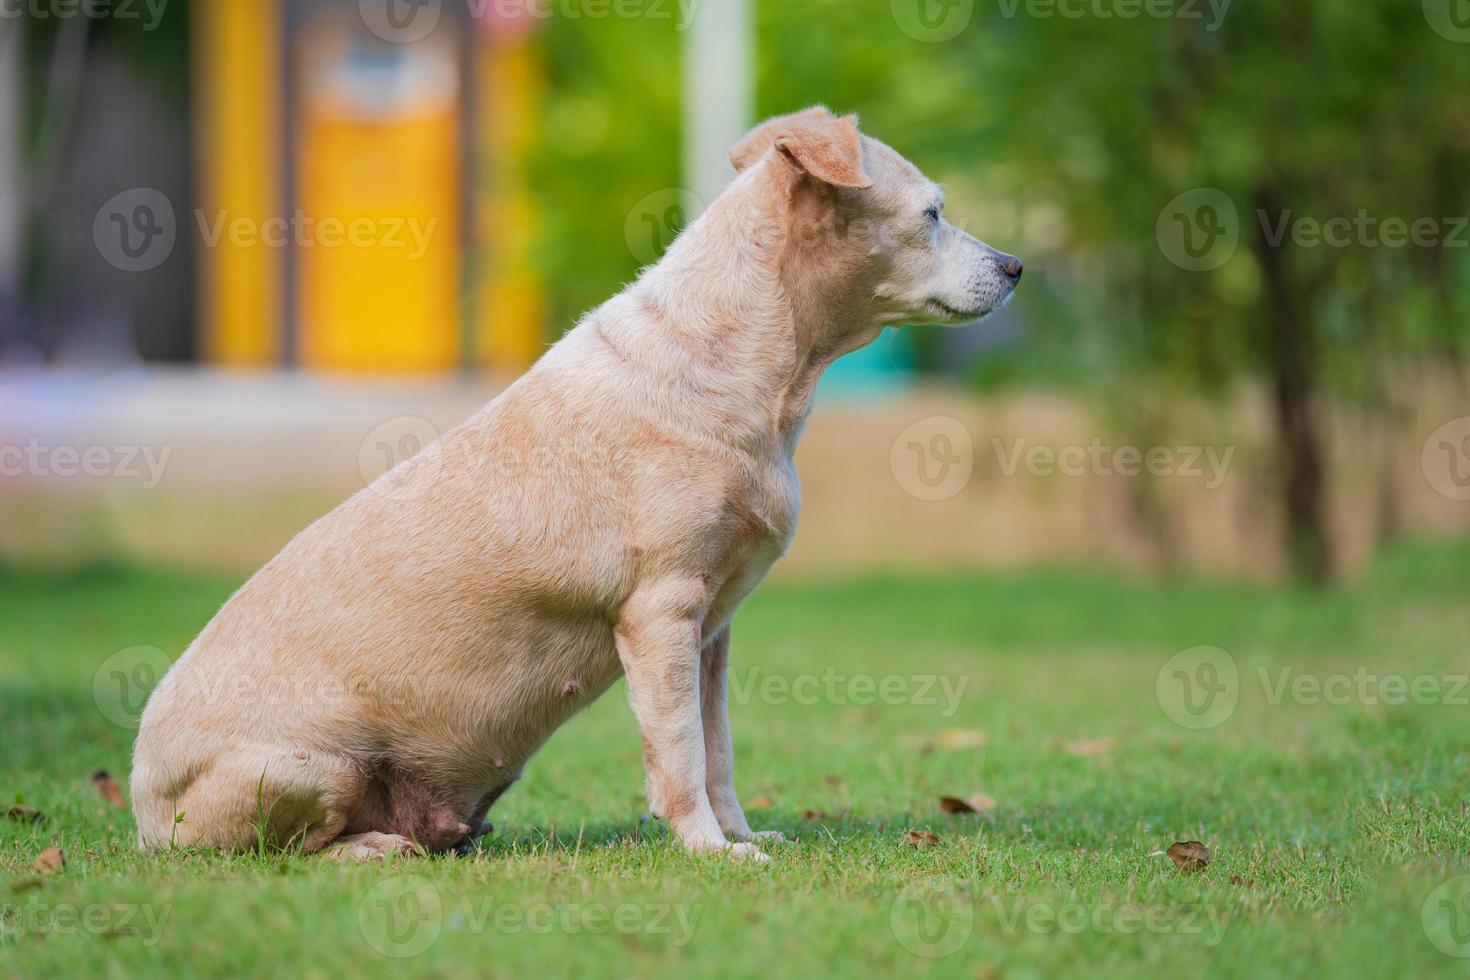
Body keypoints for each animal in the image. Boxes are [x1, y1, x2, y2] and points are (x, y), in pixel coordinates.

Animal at [129, 105, 1023, 858]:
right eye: (933, 213)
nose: (1015, 266)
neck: (742, 370)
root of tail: (142, 815)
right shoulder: (662, 611)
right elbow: (681, 754)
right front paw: (710, 852)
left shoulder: (713, 631)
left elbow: (719, 750)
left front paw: (742, 835)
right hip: (311, 768)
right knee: (285, 851)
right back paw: (375, 847)